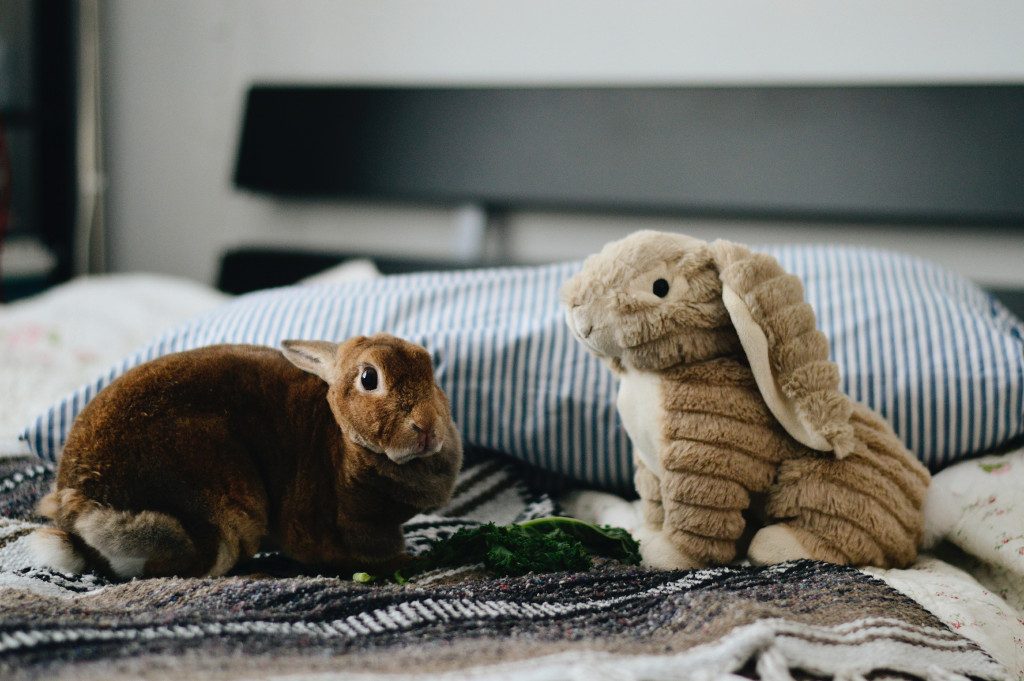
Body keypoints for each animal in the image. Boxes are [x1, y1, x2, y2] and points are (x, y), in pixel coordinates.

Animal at [28, 331, 462, 577]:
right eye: (369, 378)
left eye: (430, 370)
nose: (427, 428)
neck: (342, 438)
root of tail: (79, 507)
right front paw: (407, 563)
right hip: (223, 505)